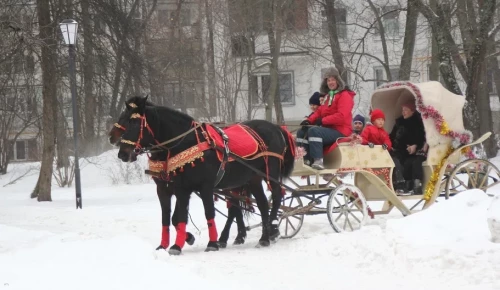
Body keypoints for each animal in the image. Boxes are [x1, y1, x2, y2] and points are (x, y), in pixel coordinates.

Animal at [115, 96, 294, 255]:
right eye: (123, 120)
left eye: (135, 123)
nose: (123, 153)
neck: (187, 143)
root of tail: (277, 128)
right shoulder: (174, 188)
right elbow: (172, 218)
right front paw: (171, 245)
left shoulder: (205, 186)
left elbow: (208, 213)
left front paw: (211, 243)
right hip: (251, 179)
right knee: (261, 204)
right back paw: (263, 237)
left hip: (270, 173)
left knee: (276, 196)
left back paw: (273, 228)